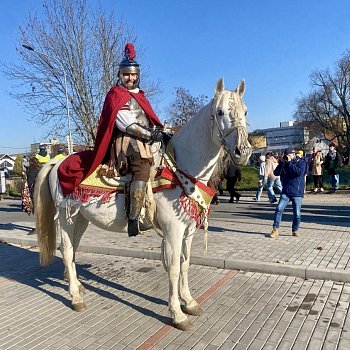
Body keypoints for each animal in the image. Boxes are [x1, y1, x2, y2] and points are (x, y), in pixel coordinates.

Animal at [34, 78, 252, 330]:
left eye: (245, 112)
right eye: (220, 112)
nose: (243, 152)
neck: (180, 170)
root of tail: (57, 161)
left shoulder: (187, 231)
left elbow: (185, 264)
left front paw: (189, 302)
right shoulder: (173, 232)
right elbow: (174, 269)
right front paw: (177, 314)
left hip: (80, 218)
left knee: (71, 249)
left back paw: (77, 285)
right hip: (66, 217)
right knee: (68, 250)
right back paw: (75, 297)